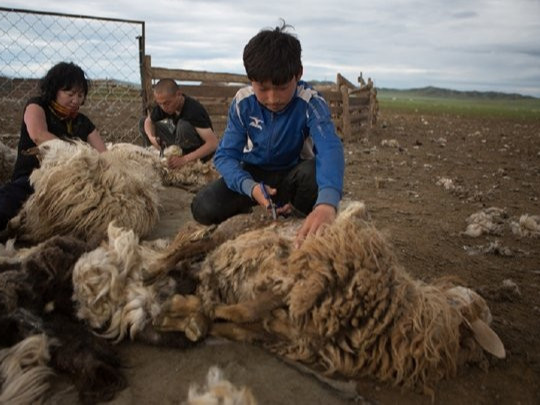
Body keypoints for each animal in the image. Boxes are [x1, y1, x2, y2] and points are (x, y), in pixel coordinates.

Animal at [153, 202, 506, 394]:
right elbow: (240, 309)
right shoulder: (294, 282)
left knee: (192, 263)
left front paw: (194, 318)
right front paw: (187, 311)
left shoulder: (292, 330)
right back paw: (153, 269)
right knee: (186, 248)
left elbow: (238, 321)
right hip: (225, 236)